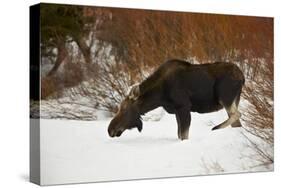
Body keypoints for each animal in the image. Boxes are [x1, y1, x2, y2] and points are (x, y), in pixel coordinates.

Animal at [107, 59, 243, 140]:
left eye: (124, 109)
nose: (110, 129)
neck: (159, 96)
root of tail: (242, 76)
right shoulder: (177, 111)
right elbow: (179, 134)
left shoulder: (184, 106)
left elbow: (184, 135)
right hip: (234, 99)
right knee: (237, 122)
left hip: (225, 97)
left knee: (237, 114)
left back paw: (215, 128)